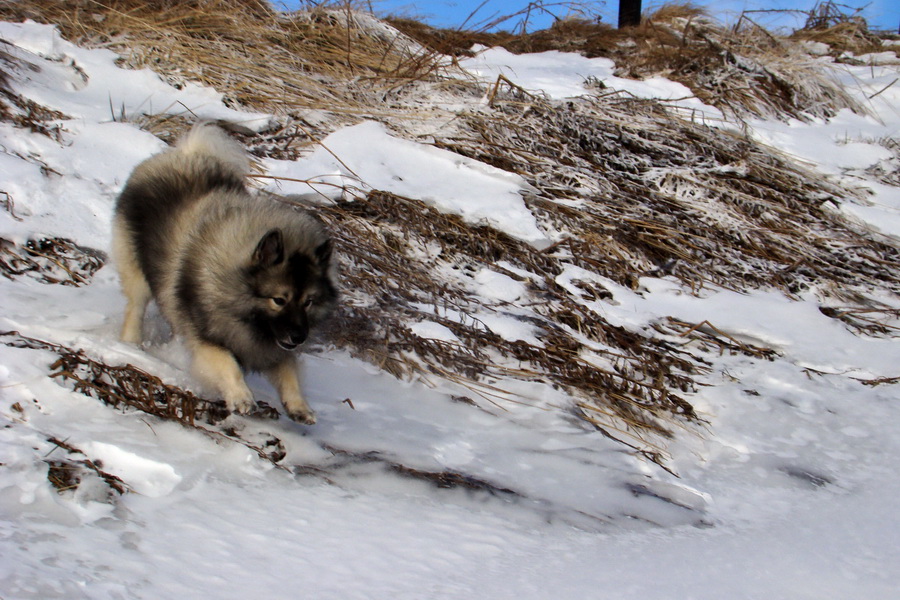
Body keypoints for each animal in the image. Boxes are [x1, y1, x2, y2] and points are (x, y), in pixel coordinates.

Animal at [110, 122, 336, 424]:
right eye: (279, 300)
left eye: (308, 302)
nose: (300, 337)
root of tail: (184, 154)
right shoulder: (208, 337)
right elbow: (228, 365)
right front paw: (241, 397)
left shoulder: (273, 346)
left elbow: (288, 371)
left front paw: (299, 406)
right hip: (136, 269)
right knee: (135, 305)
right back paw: (131, 345)